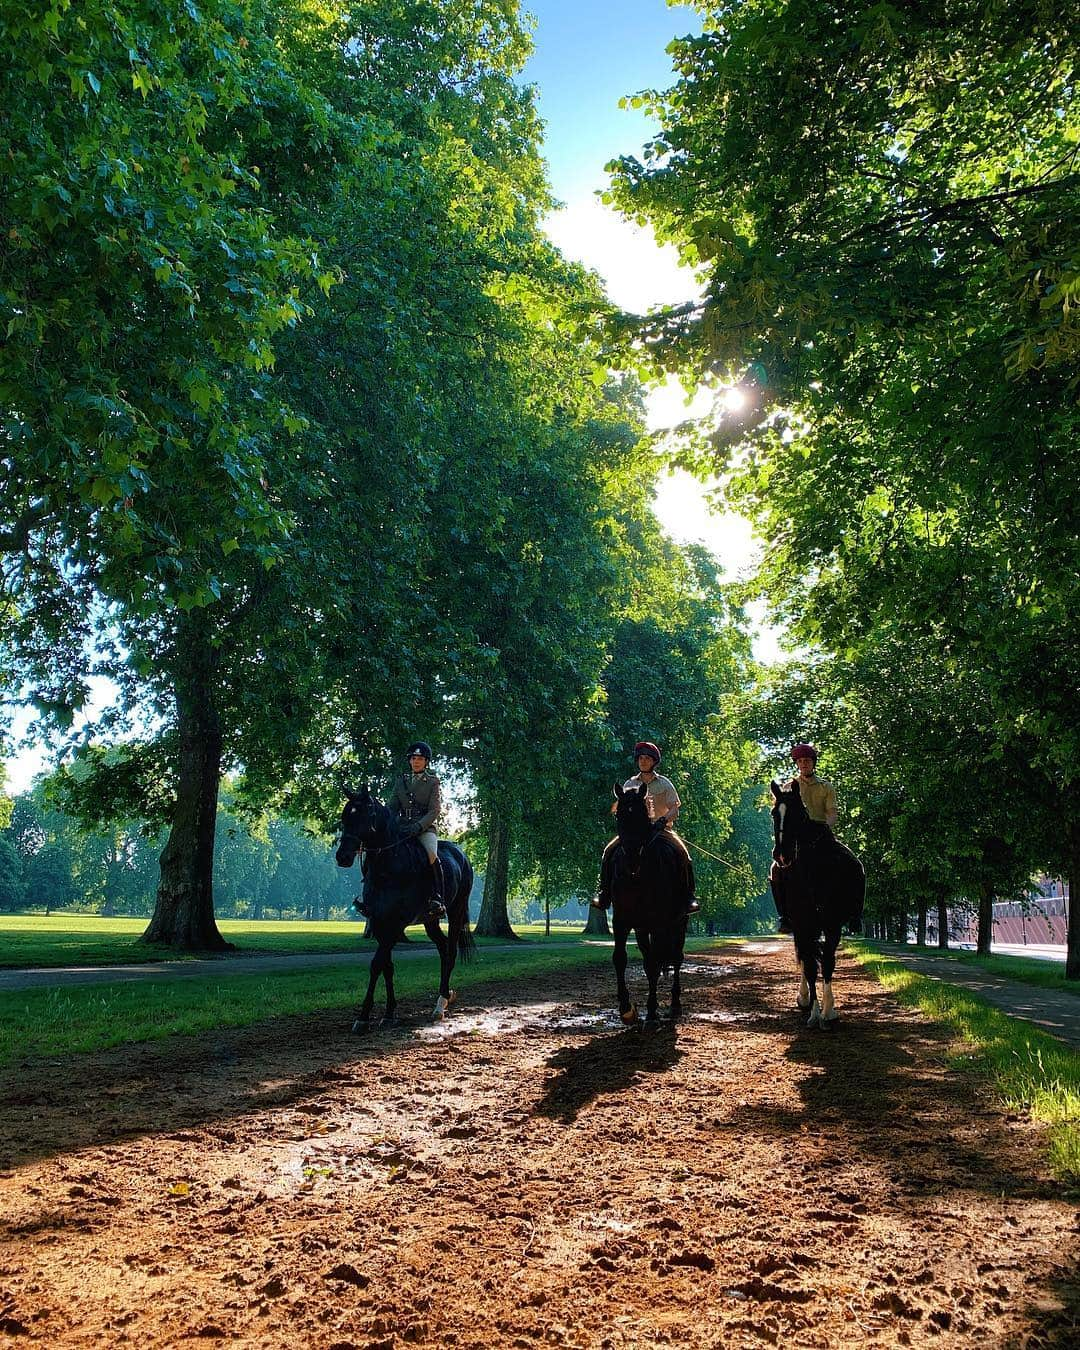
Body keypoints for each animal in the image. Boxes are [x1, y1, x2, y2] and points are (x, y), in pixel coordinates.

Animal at [334, 788, 475, 1026]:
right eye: (344, 817)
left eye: (364, 816)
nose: (342, 857)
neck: (387, 867)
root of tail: (461, 854)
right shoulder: (380, 923)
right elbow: (387, 967)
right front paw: (389, 1013)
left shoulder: (395, 925)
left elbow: (377, 964)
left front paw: (363, 1017)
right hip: (430, 920)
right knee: (443, 948)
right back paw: (446, 996)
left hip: (455, 911)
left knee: (451, 950)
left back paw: (440, 1003)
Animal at [607, 783, 691, 1020]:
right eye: (618, 814)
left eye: (643, 814)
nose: (632, 856)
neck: (638, 875)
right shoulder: (622, 921)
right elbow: (621, 958)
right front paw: (626, 1007)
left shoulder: (659, 923)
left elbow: (656, 963)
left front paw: (652, 1009)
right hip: (643, 927)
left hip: (679, 923)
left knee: (677, 957)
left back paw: (674, 1004)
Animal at [772, 777, 864, 1026]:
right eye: (774, 814)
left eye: (797, 814)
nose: (782, 855)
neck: (813, 873)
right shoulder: (804, 924)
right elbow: (811, 966)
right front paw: (814, 1011)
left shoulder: (832, 924)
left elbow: (828, 962)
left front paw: (829, 1011)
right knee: (804, 960)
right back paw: (804, 998)